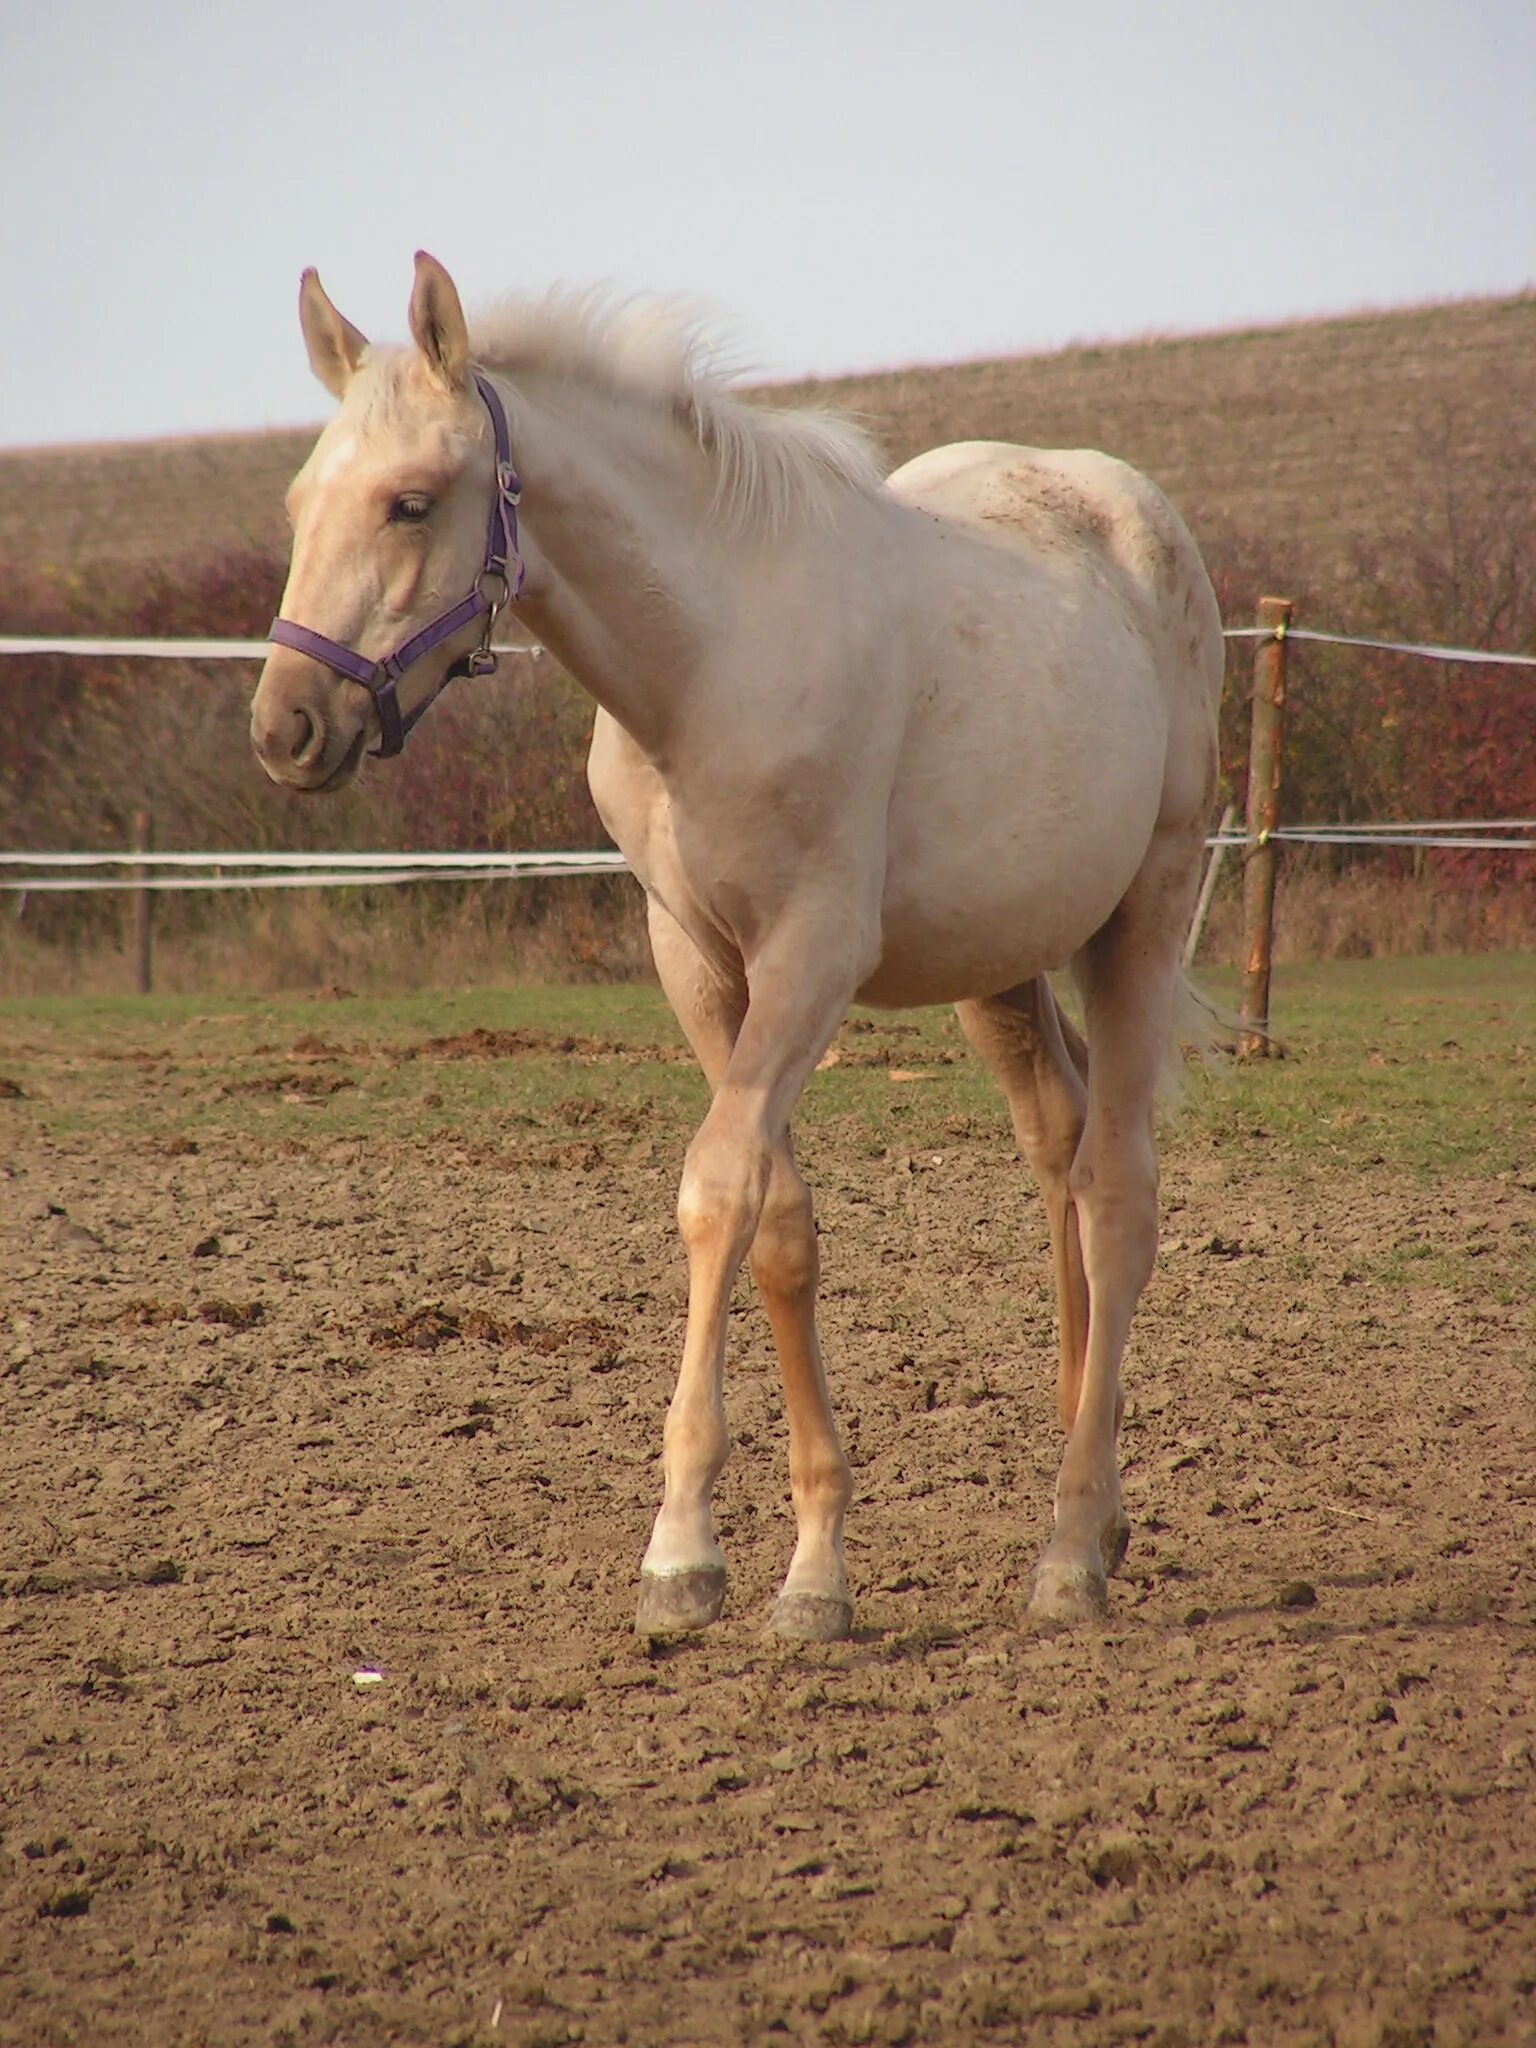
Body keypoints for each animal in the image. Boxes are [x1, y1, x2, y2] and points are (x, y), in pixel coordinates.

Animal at [259, 247, 1236, 1638]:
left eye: (409, 502)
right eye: (302, 501)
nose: (285, 726)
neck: (711, 662)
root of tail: (1134, 519)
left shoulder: (811, 959)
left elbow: (717, 1189)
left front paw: (683, 1553)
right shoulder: (698, 963)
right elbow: (780, 1223)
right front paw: (814, 1562)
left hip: (1143, 910)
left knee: (1116, 1192)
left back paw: (1067, 1549)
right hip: (1000, 961)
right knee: (1059, 1145)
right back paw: (1097, 1511)